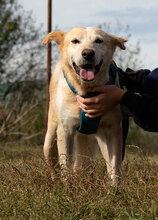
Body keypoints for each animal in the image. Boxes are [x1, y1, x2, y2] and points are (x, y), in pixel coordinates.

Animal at [42, 26, 127, 185]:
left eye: (99, 40)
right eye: (75, 41)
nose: (87, 53)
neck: (87, 90)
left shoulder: (114, 130)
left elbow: (115, 165)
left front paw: (114, 188)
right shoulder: (65, 130)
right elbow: (65, 164)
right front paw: (66, 185)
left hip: (100, 140)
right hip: (50, 140)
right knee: (54, 166)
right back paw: (55, 182)